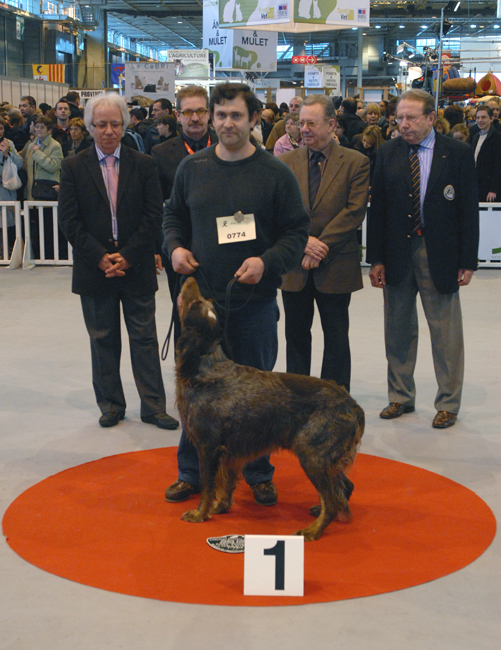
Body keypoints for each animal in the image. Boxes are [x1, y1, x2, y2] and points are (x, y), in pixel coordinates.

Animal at [175, 276, 364, 540]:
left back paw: (313, 530)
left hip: (312, 453)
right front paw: (220, 506)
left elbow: (207, 486)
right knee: (344, 488)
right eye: (204, 300)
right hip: (326, 459)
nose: (190, 276)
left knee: (332, 500)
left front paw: (200, 513)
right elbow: (225, 484)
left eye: (195, 303)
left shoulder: (207, 446)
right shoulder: (227, 452)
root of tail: (353, 405)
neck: (204, 367)